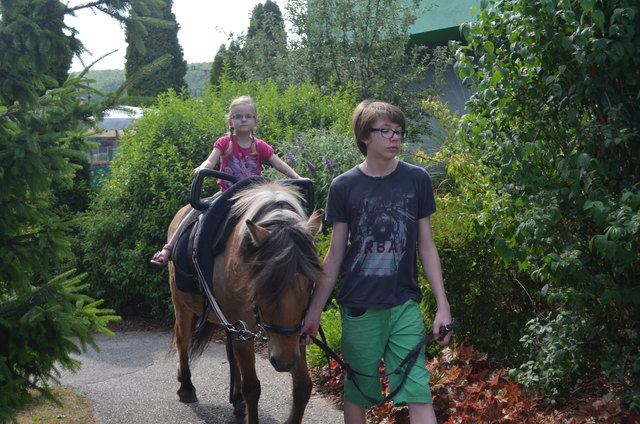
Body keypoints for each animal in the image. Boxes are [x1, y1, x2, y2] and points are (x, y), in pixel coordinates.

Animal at [168, 181, 322, 424]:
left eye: (310, 283)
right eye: (260, 286)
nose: (284, 361)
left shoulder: (295, 331)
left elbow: (303, 387)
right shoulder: (245, 326)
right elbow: (253, 387)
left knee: (229, 351)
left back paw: (237, 400)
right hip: (183, 306)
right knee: (182, 340)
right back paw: (186, 387)